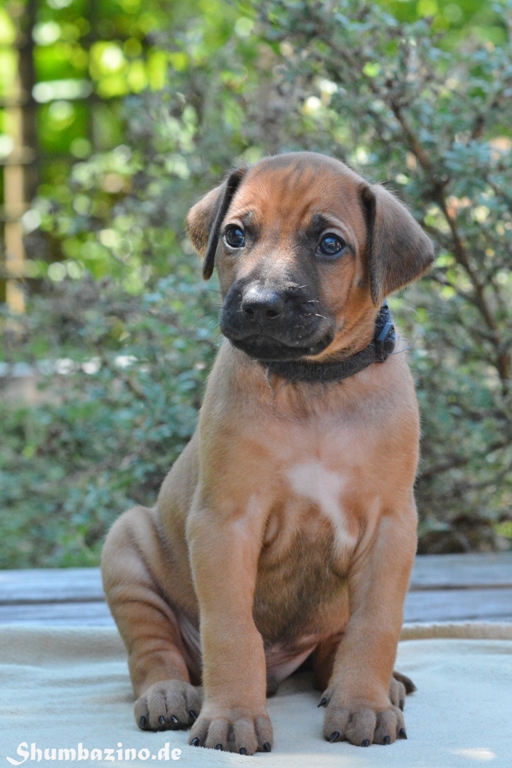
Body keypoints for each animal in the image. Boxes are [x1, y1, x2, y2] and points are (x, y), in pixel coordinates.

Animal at [102, 151, 434, 754]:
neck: (312, 384)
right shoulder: (225, 524)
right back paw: (168, 694)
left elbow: (375, 626)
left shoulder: (391, 527)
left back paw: (371, 685)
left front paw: (363, 703)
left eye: (330, 244)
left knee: (336, 643)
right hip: (127, 548)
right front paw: (233, 716)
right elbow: (232, 629)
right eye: (235, 235)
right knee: (153, 649)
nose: (260, 305)